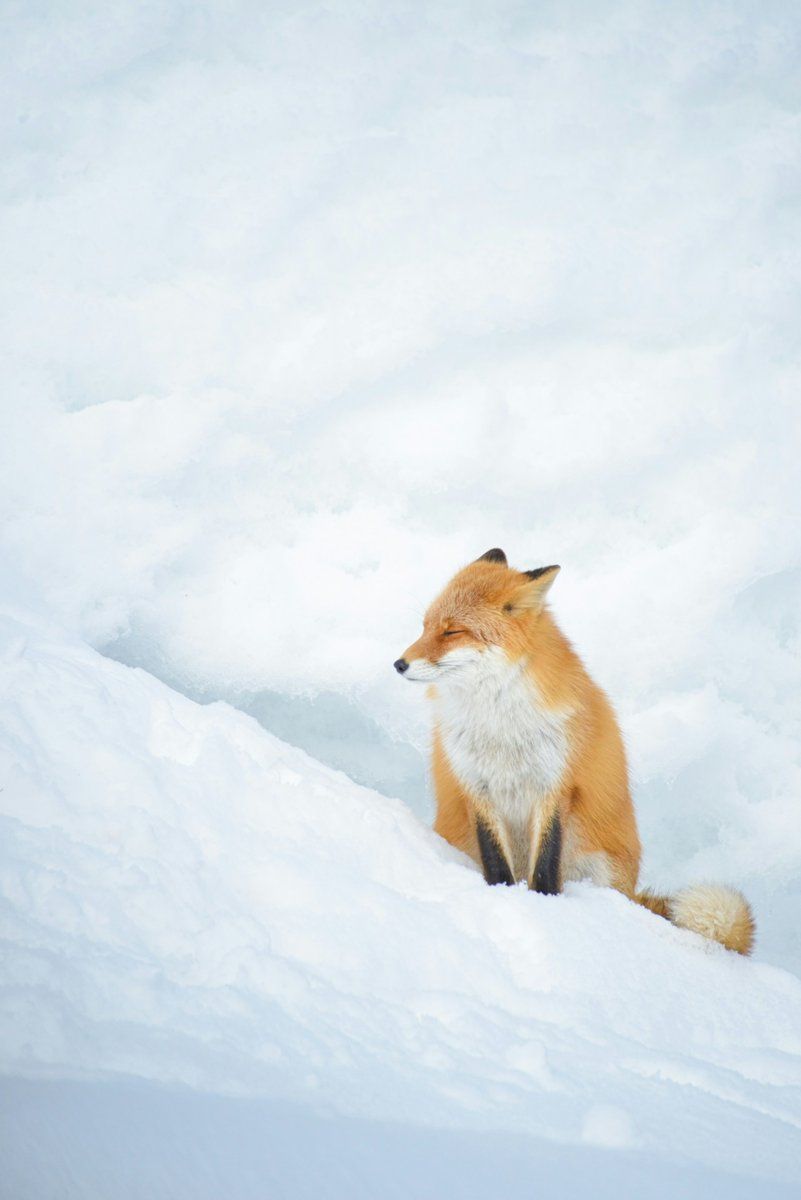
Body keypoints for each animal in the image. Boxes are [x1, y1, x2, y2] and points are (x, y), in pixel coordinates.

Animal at [394, 548, 754, 955]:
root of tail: (630, 891)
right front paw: (504, 898)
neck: (500, 726)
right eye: (424, 626)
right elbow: (497, 865)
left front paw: (546, 910)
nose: (399, 664)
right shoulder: (476, 786)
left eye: (452, 631)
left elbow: (545, 867)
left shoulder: (554, 785)